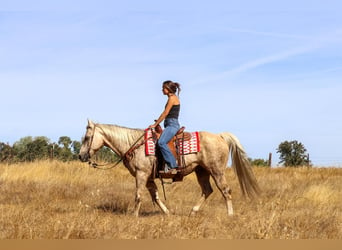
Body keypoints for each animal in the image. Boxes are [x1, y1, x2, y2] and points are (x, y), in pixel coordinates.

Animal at [78, 119, 260, 217]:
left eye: (87, 137)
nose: (81, 156)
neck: (134, 145)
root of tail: (220, 136)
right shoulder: (149, 178)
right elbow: (156, 197)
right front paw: (167, 213)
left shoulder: (141, 175)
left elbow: (138, 196)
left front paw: (134, 216)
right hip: (202, 171)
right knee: (207, 190)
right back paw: (192, 212)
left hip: (217, 171)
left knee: (225, 190)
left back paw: (230, 215)